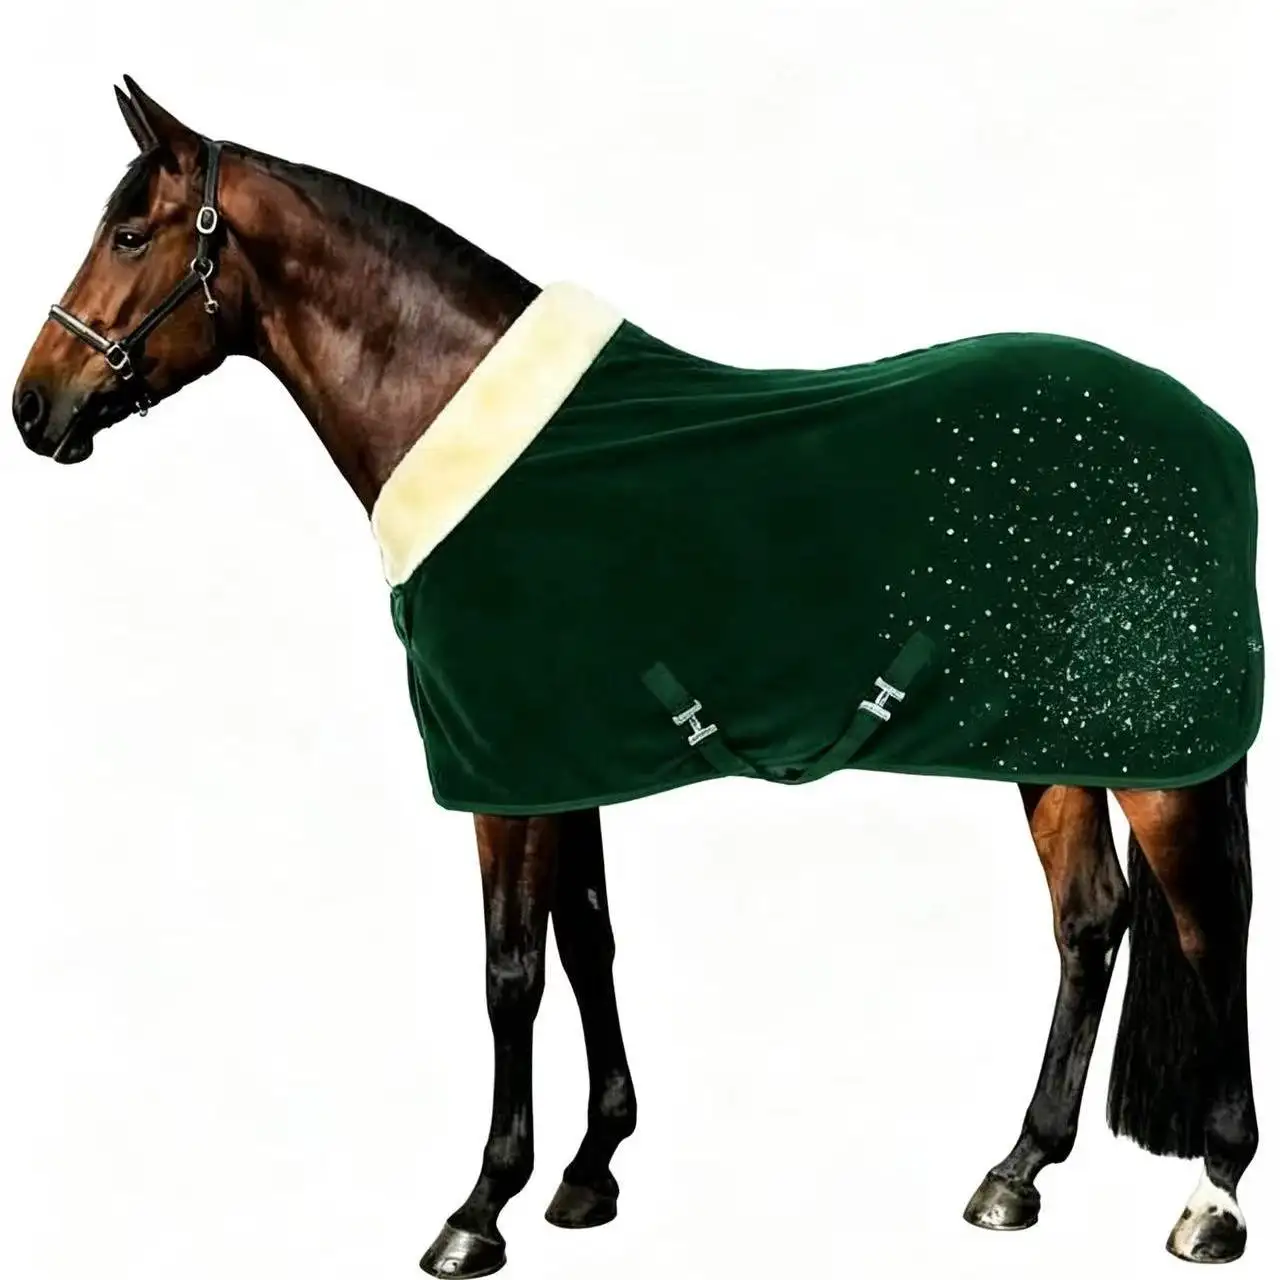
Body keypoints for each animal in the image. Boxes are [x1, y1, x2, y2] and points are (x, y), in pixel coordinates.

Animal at [12, 78, 1259, 1277]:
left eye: (129, 233)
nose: (33, 404)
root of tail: (1205, 425)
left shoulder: (505, 770)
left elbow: (511, 967)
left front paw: (479, 1209)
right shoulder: (561, 761)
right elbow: (586, 940)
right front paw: (588, 1169)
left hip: (1155, 758)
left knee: (1211, 926)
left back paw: (1212, 1195)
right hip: (1054, 747)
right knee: (1088, 920)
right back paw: (1015, 1170)